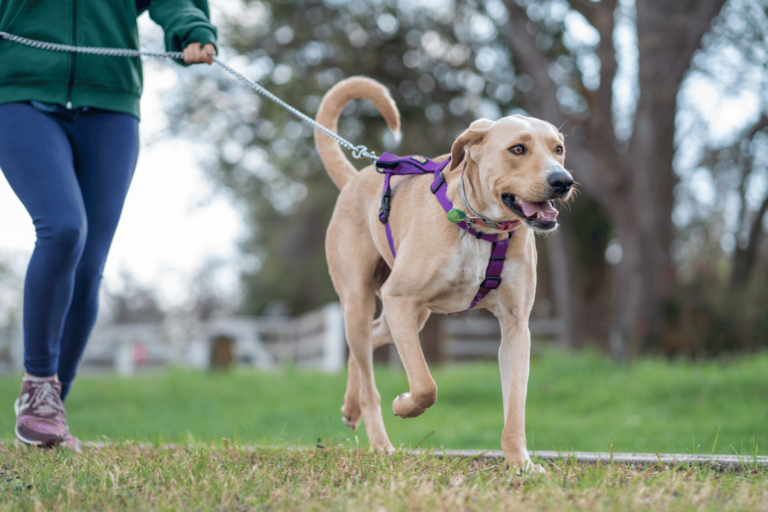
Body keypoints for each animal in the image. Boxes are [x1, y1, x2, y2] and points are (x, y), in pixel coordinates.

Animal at [316, 76, 572, 472]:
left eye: (558, 149)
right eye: (517, 149)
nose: (563, 181)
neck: (481, 227)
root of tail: (357, 178)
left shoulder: (516, 325)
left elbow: (515, 405)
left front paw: (521, 463)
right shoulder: (399, 298)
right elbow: (425, 386)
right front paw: (404, 405)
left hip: (411, 316)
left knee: (366, 346)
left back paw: (351, 405)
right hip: (363, 301)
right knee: (369, 373)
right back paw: (380, 442)